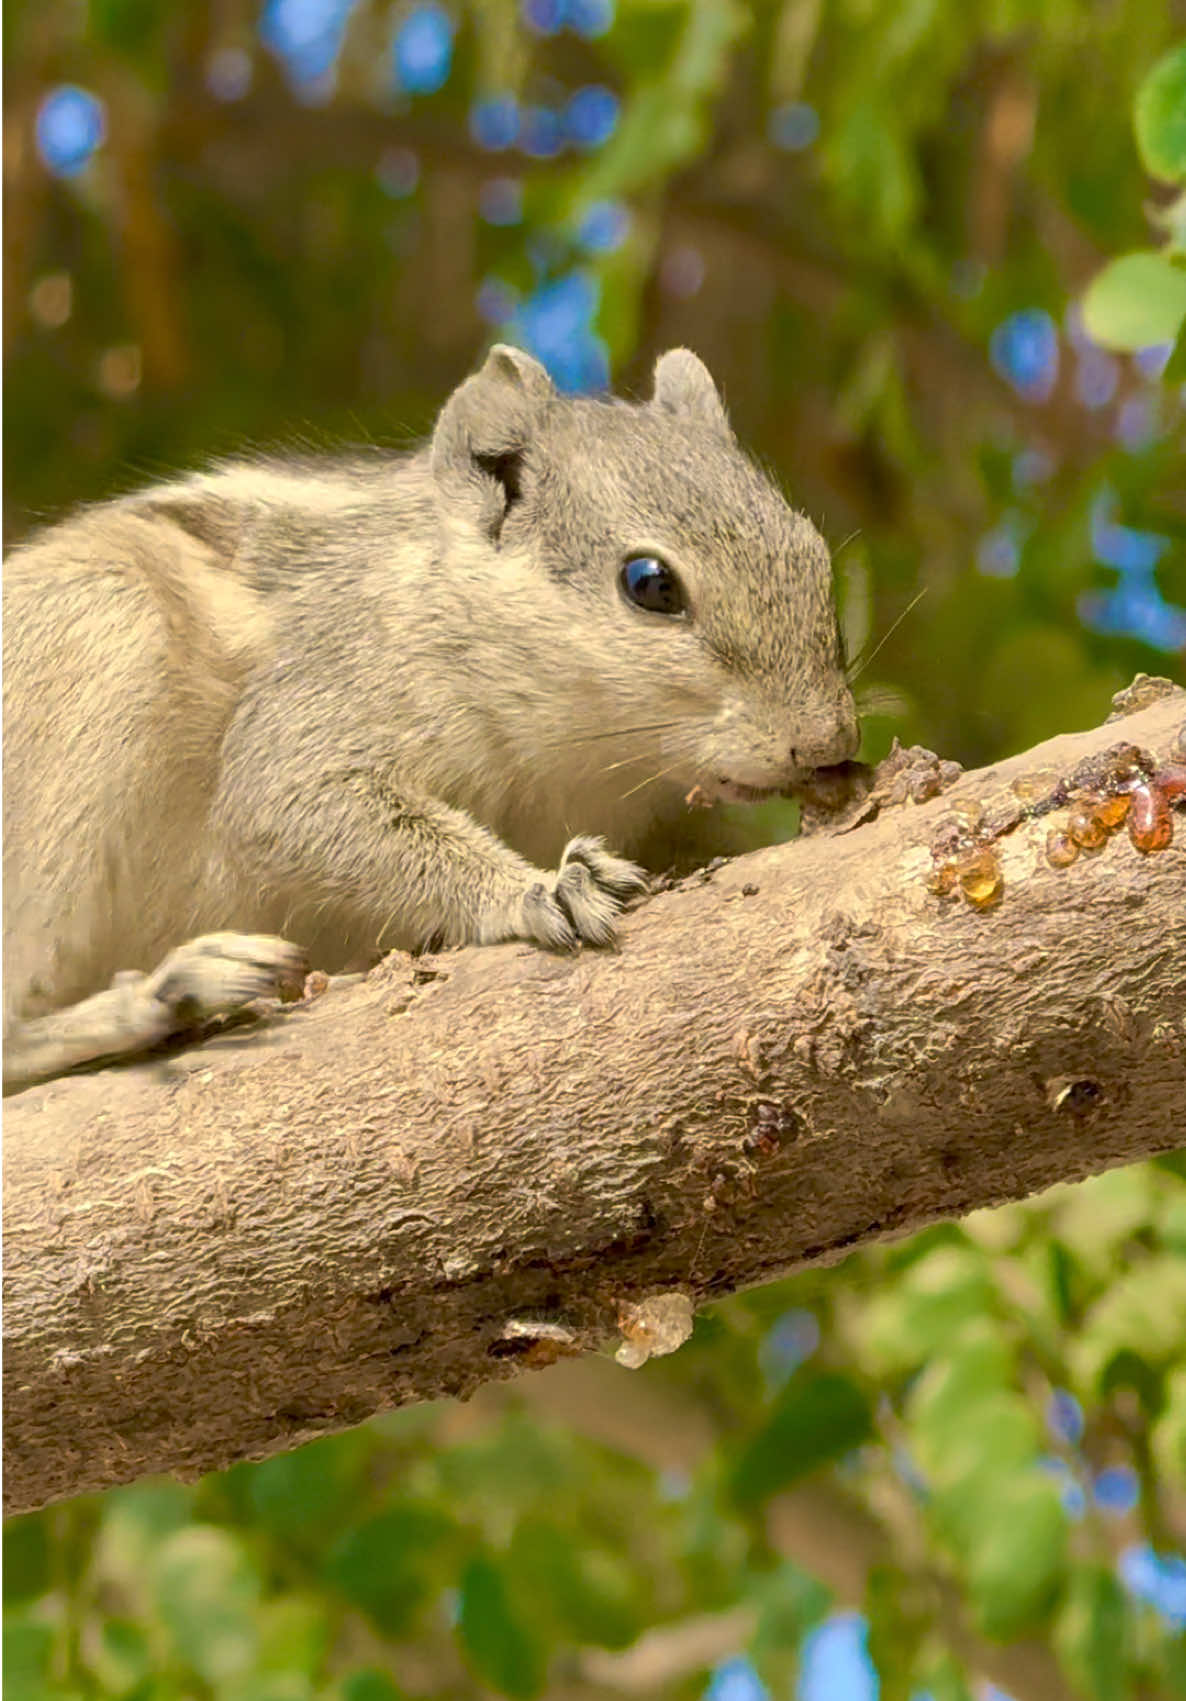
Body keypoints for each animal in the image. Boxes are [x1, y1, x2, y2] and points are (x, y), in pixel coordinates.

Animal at [0, 345, 850, 1088]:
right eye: (649, 583)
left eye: (814, 548)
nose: (829, 746)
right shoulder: (318, 706)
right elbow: (289, 807)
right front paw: (541, 888)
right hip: (100, 643)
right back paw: (166, 992)